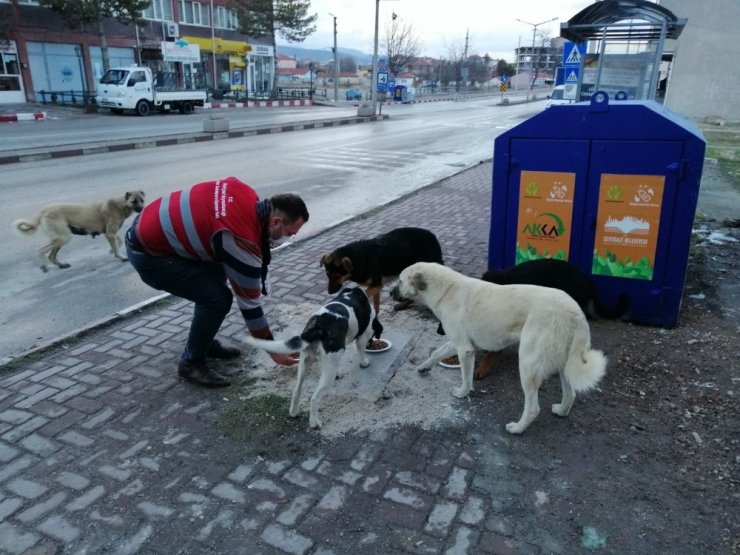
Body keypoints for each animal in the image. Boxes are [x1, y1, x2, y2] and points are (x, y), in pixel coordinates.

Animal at [13, 190, 145, 272]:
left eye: (142, 200)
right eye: (134, 201)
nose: (142, 208)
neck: (121, 204)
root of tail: (44, 210)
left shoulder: (110, 233)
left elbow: (119, 242)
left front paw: (112, 250)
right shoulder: (110, 234)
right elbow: (117, 246)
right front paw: (120, 256)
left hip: (60, 239)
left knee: (51, 256)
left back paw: (61, 265)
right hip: (63, 237)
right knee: (41, 250)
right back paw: (43, 265)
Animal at [244, 282, 382, 430]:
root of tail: (317, 326)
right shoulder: (362, 337)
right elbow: (361, 350)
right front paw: (364, 363)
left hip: (304, 361)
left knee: (297, 390)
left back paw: (293, 412)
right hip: (326, 370)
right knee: (315, 398)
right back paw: (315, 422)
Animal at [390, 262, 604, 436]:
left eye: (400, 281)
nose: (390, 293)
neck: (444, 290)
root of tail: (575, 313)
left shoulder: (465, 350)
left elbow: (466, 378)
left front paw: (462, 393)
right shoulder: (457, 342)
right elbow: (436, 353)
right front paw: (423, 367)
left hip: (528, 364)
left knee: (533, 407)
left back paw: (517, 429)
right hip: (564, 363)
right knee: (571, 393)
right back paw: (561, 411)